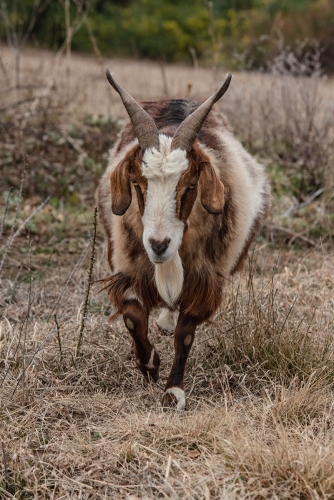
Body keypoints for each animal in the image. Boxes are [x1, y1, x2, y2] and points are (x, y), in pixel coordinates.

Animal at [95, 68, 270, 408]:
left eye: (190, 185)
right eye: (137, 184)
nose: (159, 245)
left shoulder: (205, 279)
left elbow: (185, 333)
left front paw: (173, 391)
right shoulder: (128, 266)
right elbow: (132, 316)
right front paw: (150, 365)